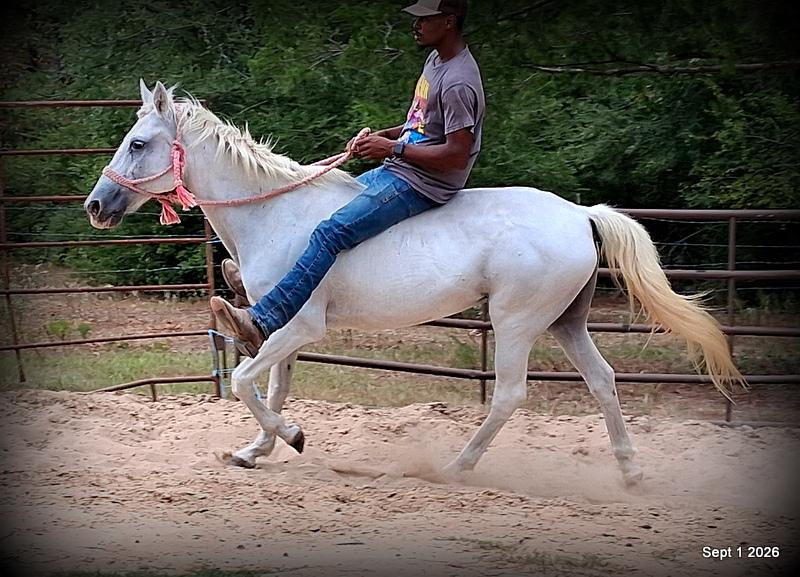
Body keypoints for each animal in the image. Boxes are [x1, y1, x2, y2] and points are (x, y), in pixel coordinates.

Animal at [84, 80, 743, 486]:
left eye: (138, 143)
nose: (96, 205)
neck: (277, 214)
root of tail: (581, 214)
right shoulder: (286, 329)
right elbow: (272, 385)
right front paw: (255, 451)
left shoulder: (301, 325)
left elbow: (248, 381)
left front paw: (292, 437)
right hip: (565, 322)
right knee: (604, 382)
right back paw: (630, 474)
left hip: (515, 322)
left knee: (509, 395)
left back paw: (455, 468)